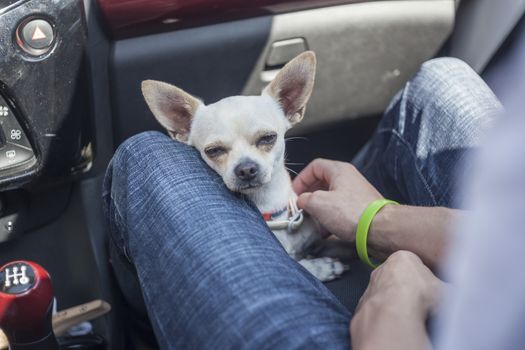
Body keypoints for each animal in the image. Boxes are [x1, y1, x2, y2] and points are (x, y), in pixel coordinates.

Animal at [141, 51, 346, 282]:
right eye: (213, 151)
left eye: (268, 138)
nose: (246, 169)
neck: (270, 209)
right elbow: (304, 268)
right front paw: (322, 267)